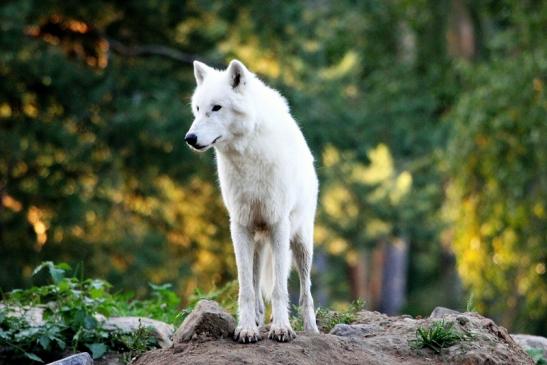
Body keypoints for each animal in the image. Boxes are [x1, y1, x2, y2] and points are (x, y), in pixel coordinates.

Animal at [186, 59, 318, 342]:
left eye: (216, 108)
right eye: (198, 109)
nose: (189, 138)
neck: (247, 157)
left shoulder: (278, 225)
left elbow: (280, 289)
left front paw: (281, 328)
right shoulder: (240, 226)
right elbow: (246, 288)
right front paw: (246, 328)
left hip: (301, 242)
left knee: (306, 290)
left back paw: (311, 328)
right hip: (257, 241)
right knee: (256, 285)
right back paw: (257, 319)